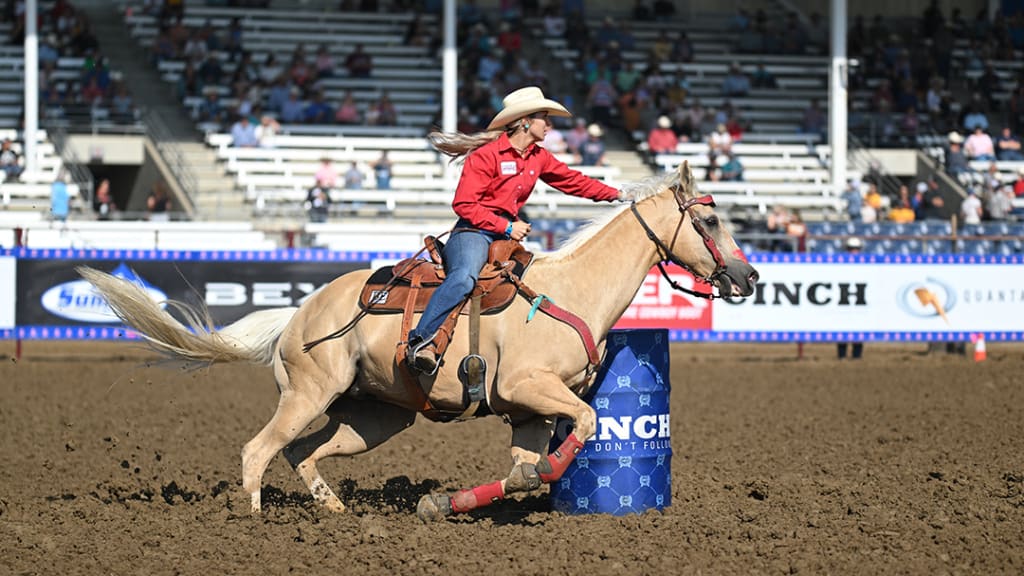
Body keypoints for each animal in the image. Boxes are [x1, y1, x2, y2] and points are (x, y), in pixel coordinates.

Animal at [79, 159, 757, 520]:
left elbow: (526, 466)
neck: (571, 290)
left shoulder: (531, 411)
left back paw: (337, 514)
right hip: (308, 395)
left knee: (302, 454)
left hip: (372, 417)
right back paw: (255, 521)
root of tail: (298, 313)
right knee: (258, 450)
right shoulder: (529, 387)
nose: (748, 276)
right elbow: (586, 424)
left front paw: (463, 500)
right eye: (710, 218)